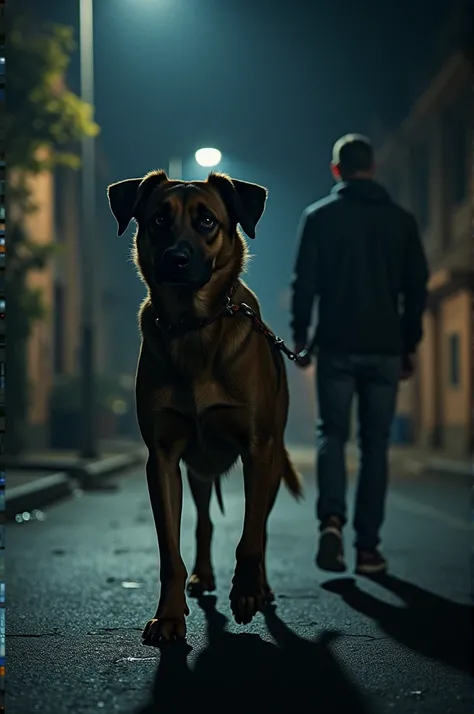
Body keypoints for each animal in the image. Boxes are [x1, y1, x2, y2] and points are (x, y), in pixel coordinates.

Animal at [106, 170, 302, 644]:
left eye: (208, 220)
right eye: (159, 219)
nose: (175, 259)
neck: (194, 327)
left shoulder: (258, 450)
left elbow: (250, 537)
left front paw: (246, 592)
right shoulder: (162, 459)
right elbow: (170, 551)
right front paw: (169, 614)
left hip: (271, 464)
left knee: (260, 528)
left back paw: (261, 586)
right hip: (197, 469)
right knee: (204, 523)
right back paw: (204, 575)